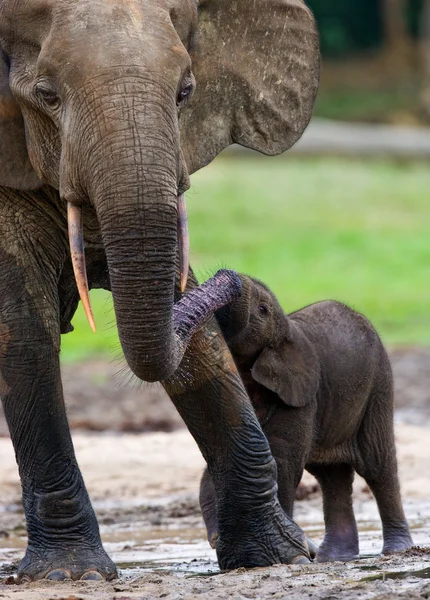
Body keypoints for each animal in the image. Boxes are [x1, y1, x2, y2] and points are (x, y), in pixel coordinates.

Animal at [0, 0, 320, 584]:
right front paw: (71, 575)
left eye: (185, 92)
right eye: (47, 95)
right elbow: (25, 332)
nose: (233, 278)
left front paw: (277, 556)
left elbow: (200, 343)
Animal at [201, 274, 414, 564]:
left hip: (378, 386)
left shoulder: (300, 397)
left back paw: (396, 551)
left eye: (262, 310)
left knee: (378, 467)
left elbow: (282, 460)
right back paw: (334, 558)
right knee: (331, 476)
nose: (228, 275)